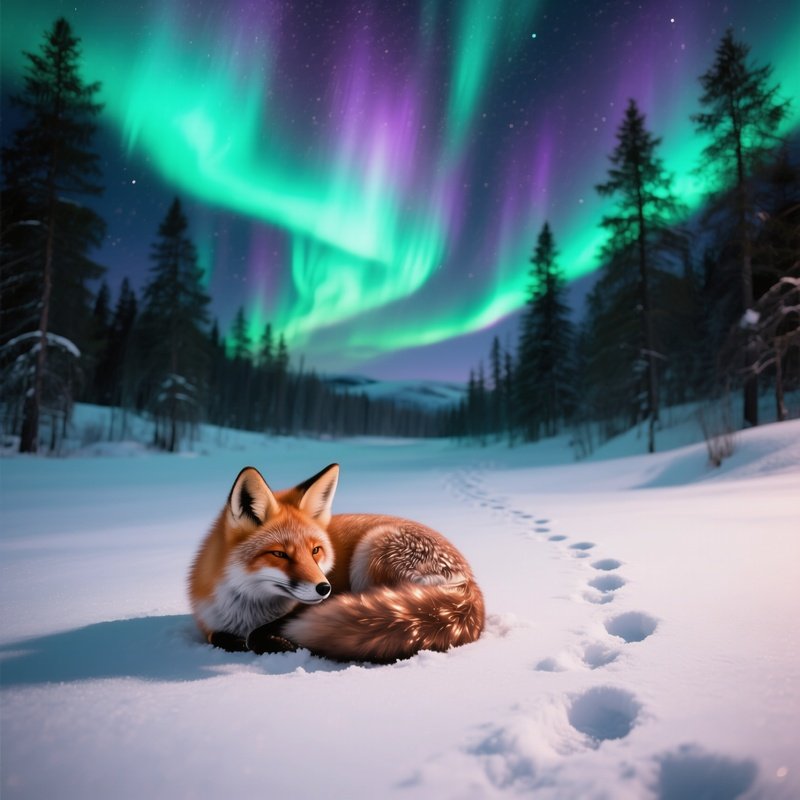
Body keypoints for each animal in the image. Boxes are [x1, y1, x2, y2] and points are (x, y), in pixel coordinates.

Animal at [188, 463, 485, 663]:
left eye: (315, 551)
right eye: (280, 554)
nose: (324, 588)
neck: (248, 611)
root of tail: (472, 587)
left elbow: (256, 636)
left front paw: (285, 644)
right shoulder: (210, 621)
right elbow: (219, 636)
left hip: (372, 550)